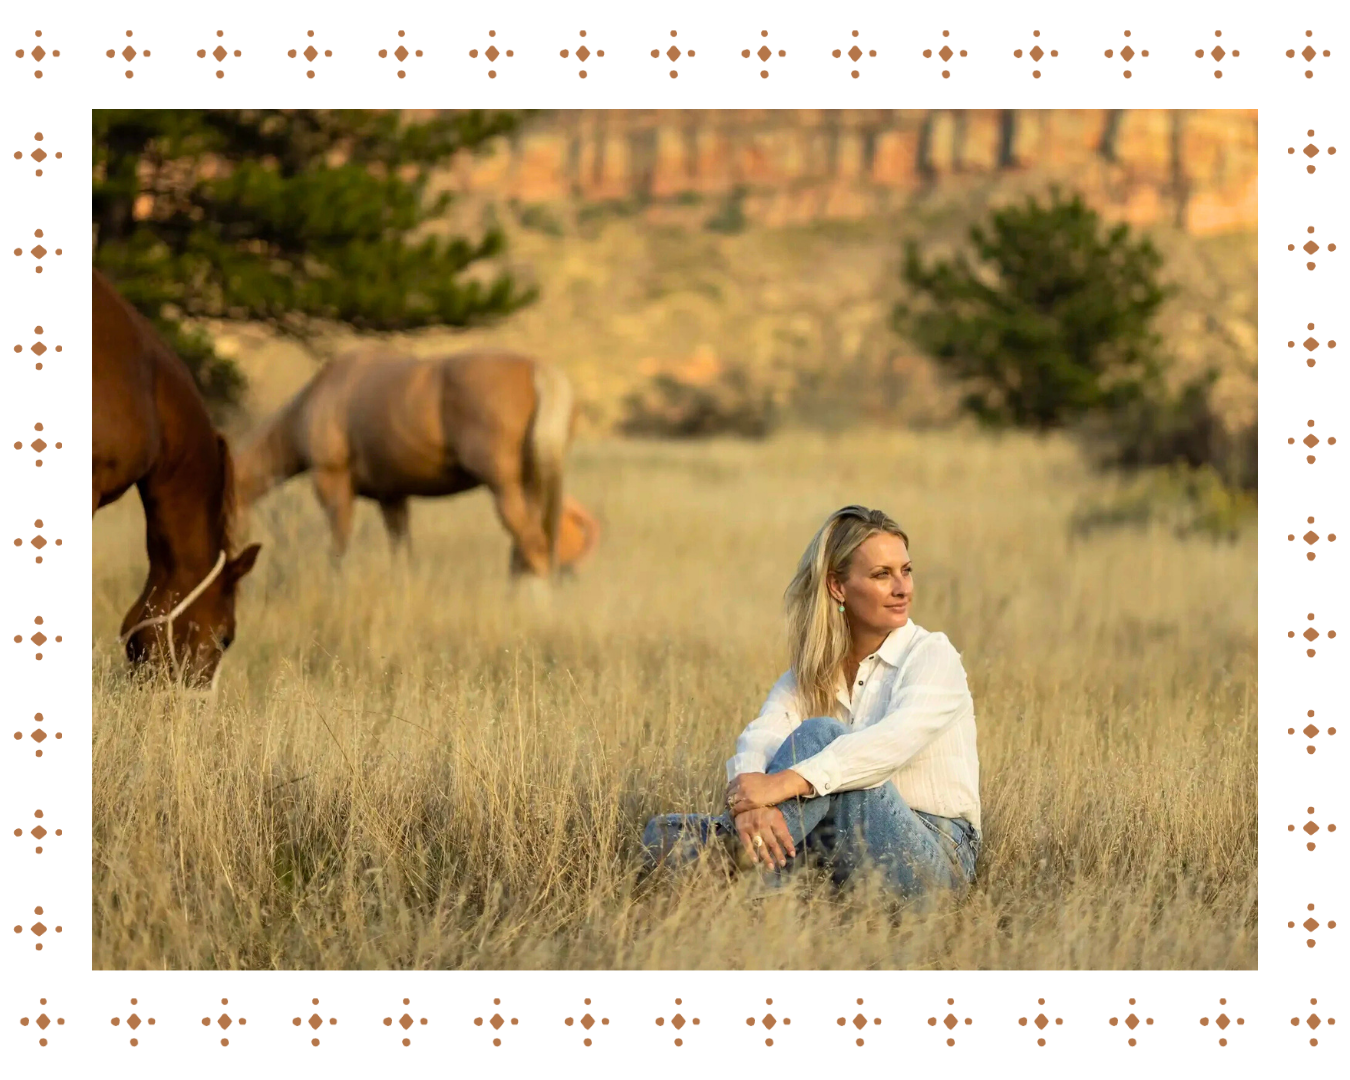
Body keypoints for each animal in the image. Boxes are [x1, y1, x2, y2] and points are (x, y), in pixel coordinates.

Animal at [234, 349, 597, 577]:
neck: (321, 394)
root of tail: (537, 369)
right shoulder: (392, 498)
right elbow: (402, 551)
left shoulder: (332, 485)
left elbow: (338, 547)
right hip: (533, 486)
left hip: (505, 490)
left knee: (533, 546)